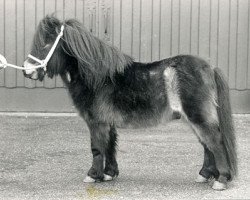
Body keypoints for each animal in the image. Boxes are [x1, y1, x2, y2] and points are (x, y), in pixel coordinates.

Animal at [23, 16, 236, 191]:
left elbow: (97, 148)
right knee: (207, 145)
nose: (27, 71)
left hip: (198, 116)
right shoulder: (107, 122)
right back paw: (205, 175)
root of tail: (210, 67)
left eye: (46, 43)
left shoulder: (96, 122)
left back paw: (221, 179)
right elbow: (110, 145)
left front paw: (93, 175)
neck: (98, 79)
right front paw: (109, 173)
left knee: (215, 142)